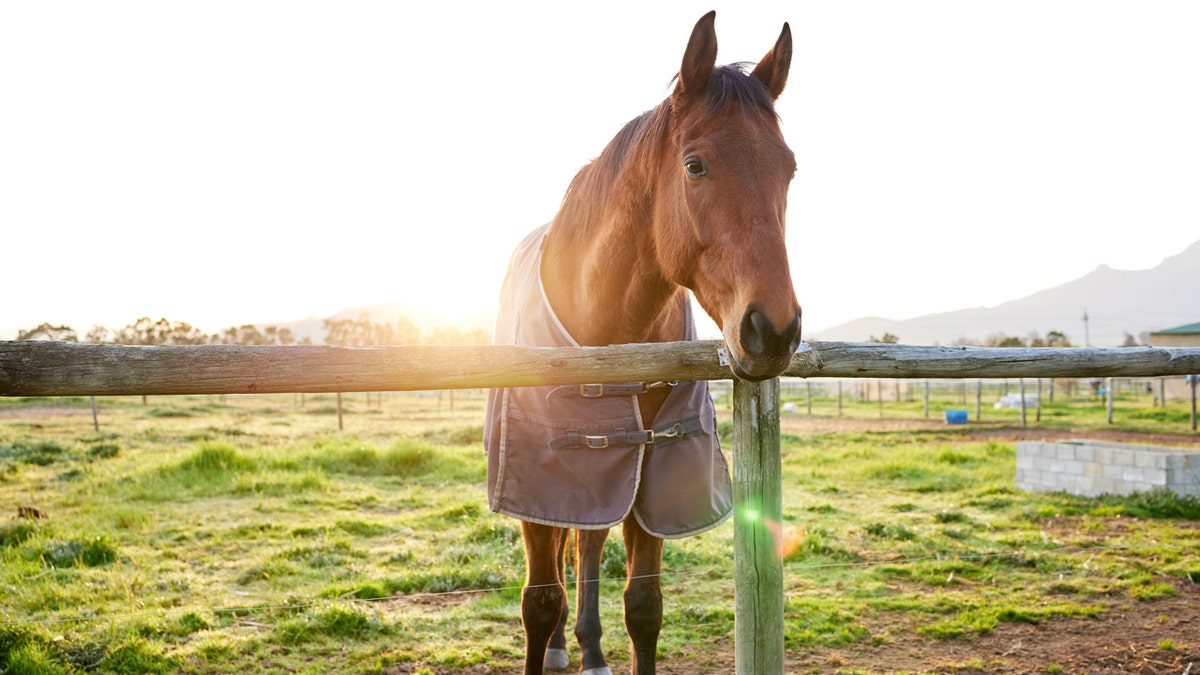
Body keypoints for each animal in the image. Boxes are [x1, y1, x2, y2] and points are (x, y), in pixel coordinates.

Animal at [482, 10, 801, 672]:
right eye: (695, 164)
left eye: (789, 168)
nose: (774, 330)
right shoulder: (539, 485)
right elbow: (539, 599)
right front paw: (550, 638)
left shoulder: (651, 478)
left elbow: (643, 606)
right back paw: (564, 647)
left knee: (588, 543)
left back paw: (589, 647)